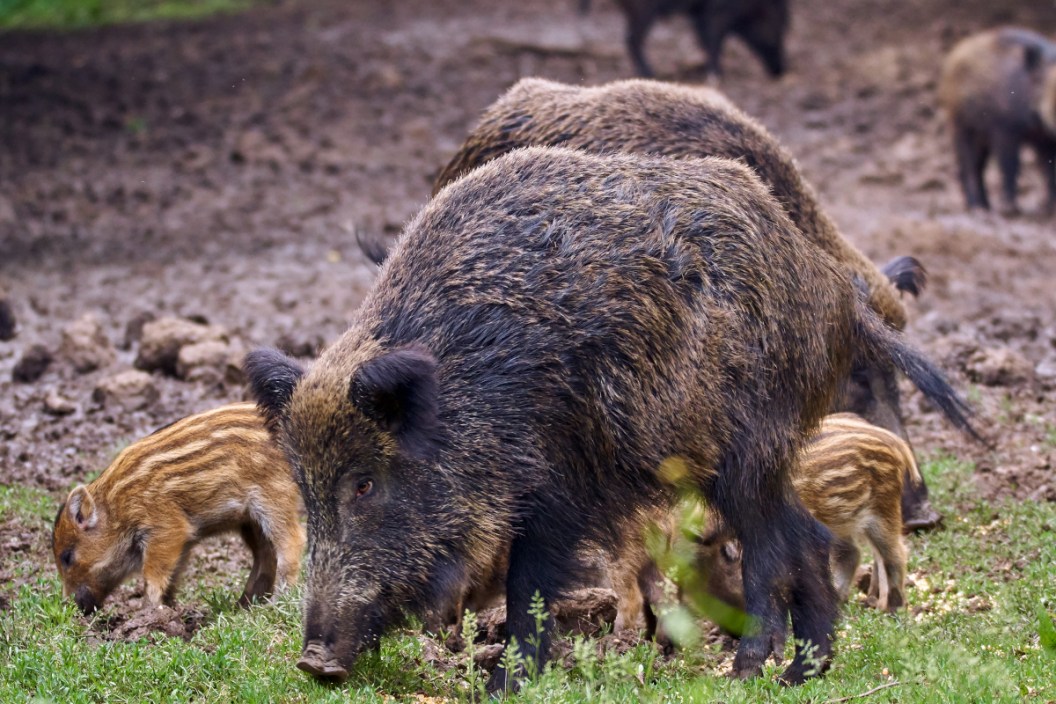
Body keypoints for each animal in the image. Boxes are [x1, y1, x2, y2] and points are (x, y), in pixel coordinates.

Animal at [52, 402, 305, 614]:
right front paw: (170, 609)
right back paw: (243, 606)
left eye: (67, 557)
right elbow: (174, 571)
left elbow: (153, 572)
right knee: (265, 554)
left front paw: (148, 612)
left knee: (292, 541)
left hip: (274, 497)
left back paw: (278, 601)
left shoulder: (166, 527)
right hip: (250, 520)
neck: (116, 508)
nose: (72, 609)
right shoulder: (183, 540)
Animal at [245, 146, 974, 691]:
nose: (313, 661)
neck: (472, 396)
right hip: (754, 457)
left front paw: (505, 683)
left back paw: (748, 672)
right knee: (807, 537)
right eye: (307, 490)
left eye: (365, 483)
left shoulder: (559, 487)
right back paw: (805, 672)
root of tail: (832, 292)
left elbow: (530, 585)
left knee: (774, 547)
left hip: (745, 446)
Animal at [939, 27, 1056, 215]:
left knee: (978, 167)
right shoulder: (1004, 130)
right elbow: (1010, 165)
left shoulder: (1046, 139)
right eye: (1040, 80)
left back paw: (985, 206)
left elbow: (1048, 168)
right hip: (960, 125)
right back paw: (977, 208)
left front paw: (1050, 208)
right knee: (968, 165)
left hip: (980, 137)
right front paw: (1010, 209)